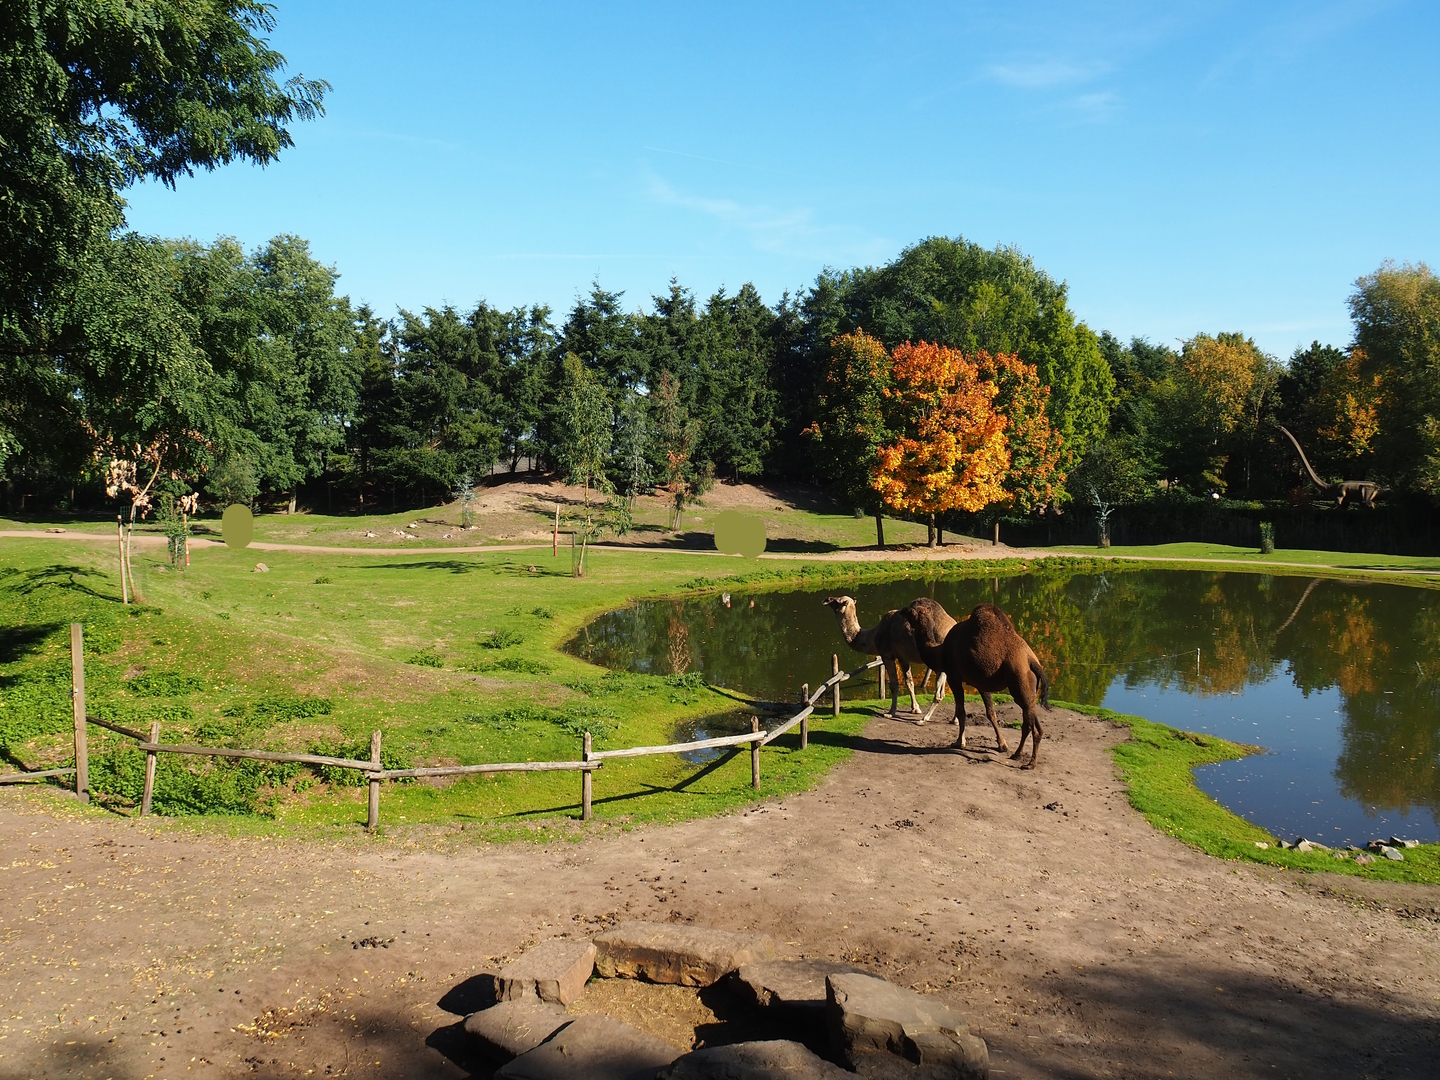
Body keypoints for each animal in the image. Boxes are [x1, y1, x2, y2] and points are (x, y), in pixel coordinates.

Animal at [911, 601, 1051, 768]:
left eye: (909, 611)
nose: (902, 612)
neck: (940, 652)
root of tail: (1033, 662)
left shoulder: (954, 677)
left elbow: (962, 712)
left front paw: (959, 742)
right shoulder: (981, 683)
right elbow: (991, 713)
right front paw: (1002, 745)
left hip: (1020, 682)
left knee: (1030, 725)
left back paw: (1030, 763)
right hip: (1028, 690)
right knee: (1030, 722)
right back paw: (1017, 755)